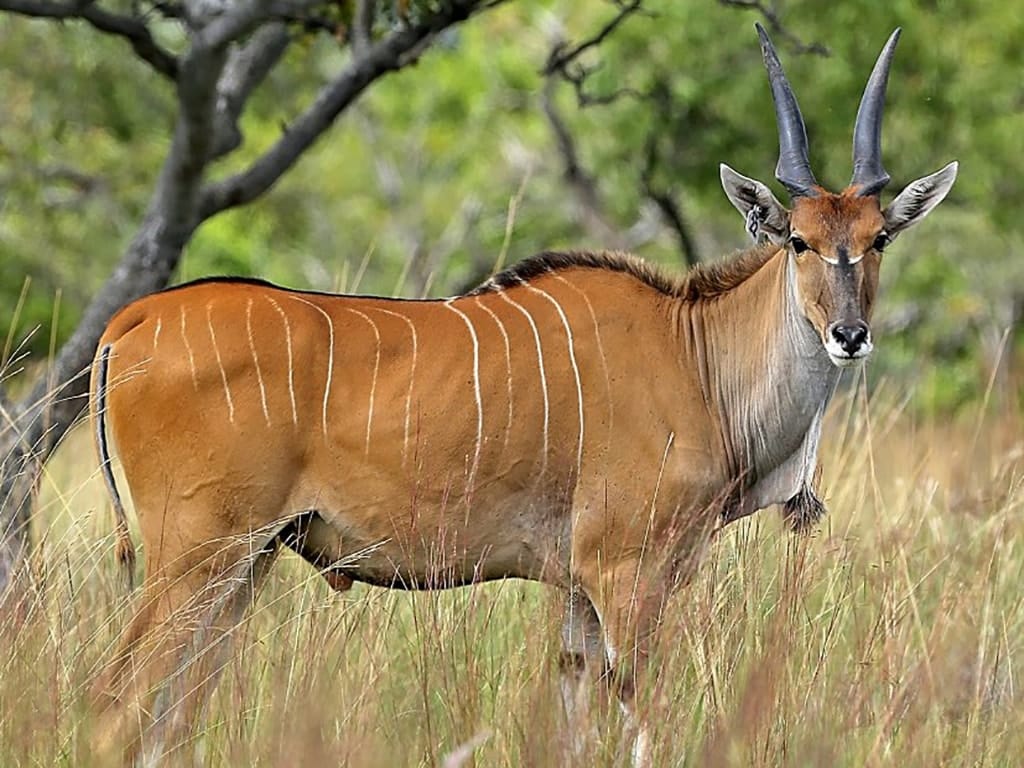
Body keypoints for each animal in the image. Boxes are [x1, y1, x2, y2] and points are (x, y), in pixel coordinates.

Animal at [90, 24, 958, 768]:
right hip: (195, 555)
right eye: (799, 241)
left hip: (243, 567)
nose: (849, 334)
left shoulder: (578, 592)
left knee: (168, 718)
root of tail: (137, 318)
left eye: (879, 237)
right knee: (115, 703)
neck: (696, 355)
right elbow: (642, 720)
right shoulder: (627, 574)